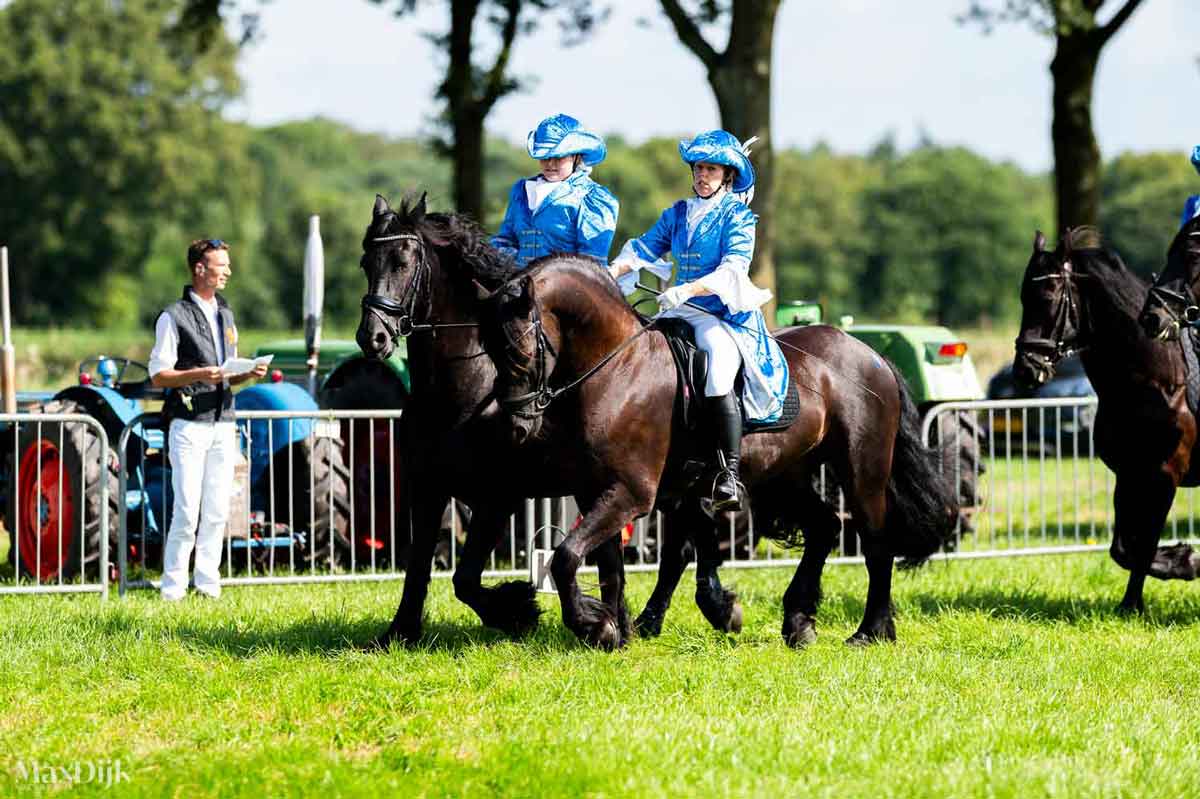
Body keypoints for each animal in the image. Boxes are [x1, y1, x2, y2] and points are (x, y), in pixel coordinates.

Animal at [1012, 224, 1200, 609]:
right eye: (1024, 298)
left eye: (1050, 297)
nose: (1025, 369)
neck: (1154, 379)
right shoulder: (1128, 474)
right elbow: (1124, 548)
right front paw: (1184, 560)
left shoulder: (1164, 475)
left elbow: (1142, 545)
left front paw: (1134, 603)